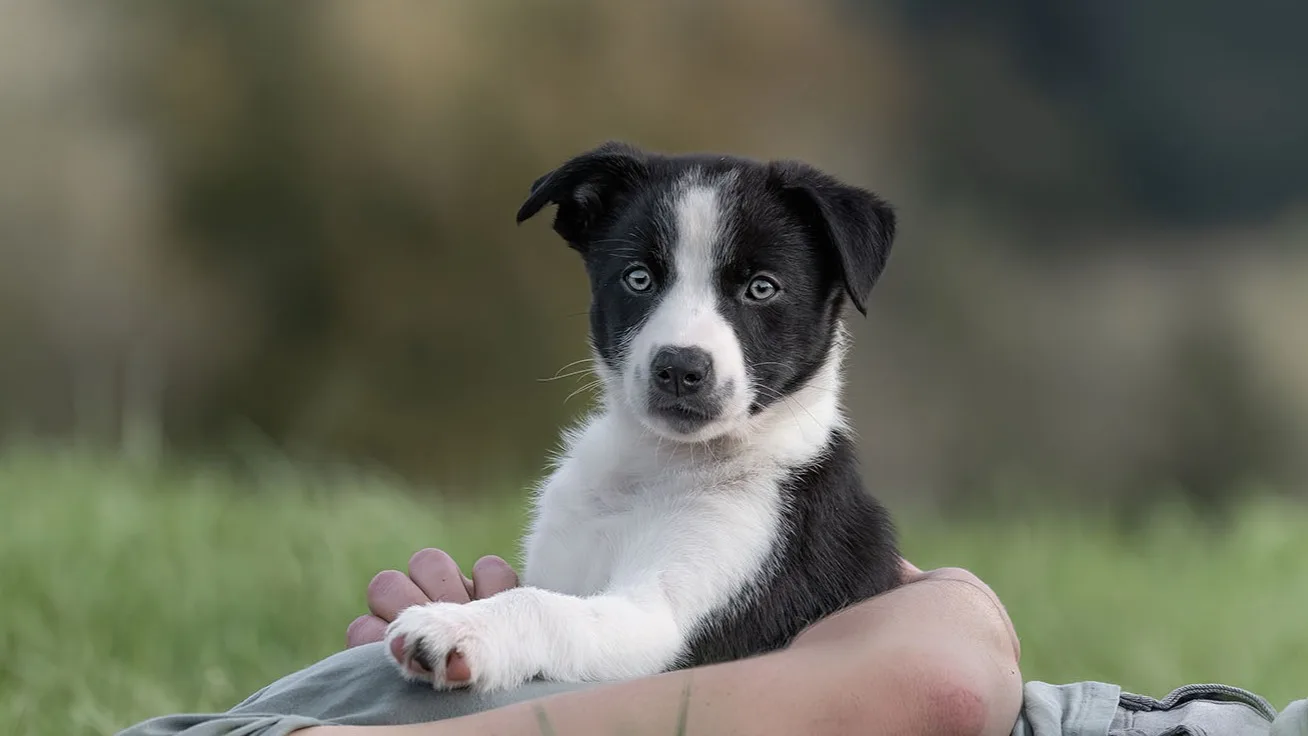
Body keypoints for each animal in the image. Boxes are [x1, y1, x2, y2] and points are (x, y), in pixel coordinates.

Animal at [385, 141, 903, 693]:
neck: (658, 465)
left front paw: (455, 626)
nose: (679, 368)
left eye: (762, 288)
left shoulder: (665, 623)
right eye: (639, 279)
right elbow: (547, 593)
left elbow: (544, 607)